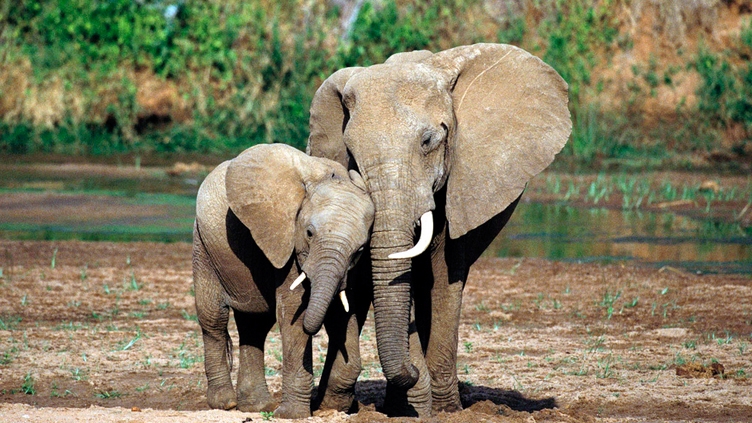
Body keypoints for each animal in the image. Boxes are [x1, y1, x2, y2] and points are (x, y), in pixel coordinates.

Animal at [192, 143, 375, 418]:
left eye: (361, 249)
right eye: (309, 233)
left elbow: (343, 312)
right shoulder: (286, 243)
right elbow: (293, 315)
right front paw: (292, 415)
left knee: (254, 325)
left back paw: (256, 407)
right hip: (203, 245)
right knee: (214, 318)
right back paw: (226, 404)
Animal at [306, 43, 572, 416]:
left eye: (428, 141)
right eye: (351, 153)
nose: (413, 371)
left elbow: (445, 275)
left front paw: (443, 409)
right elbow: (365, 277)